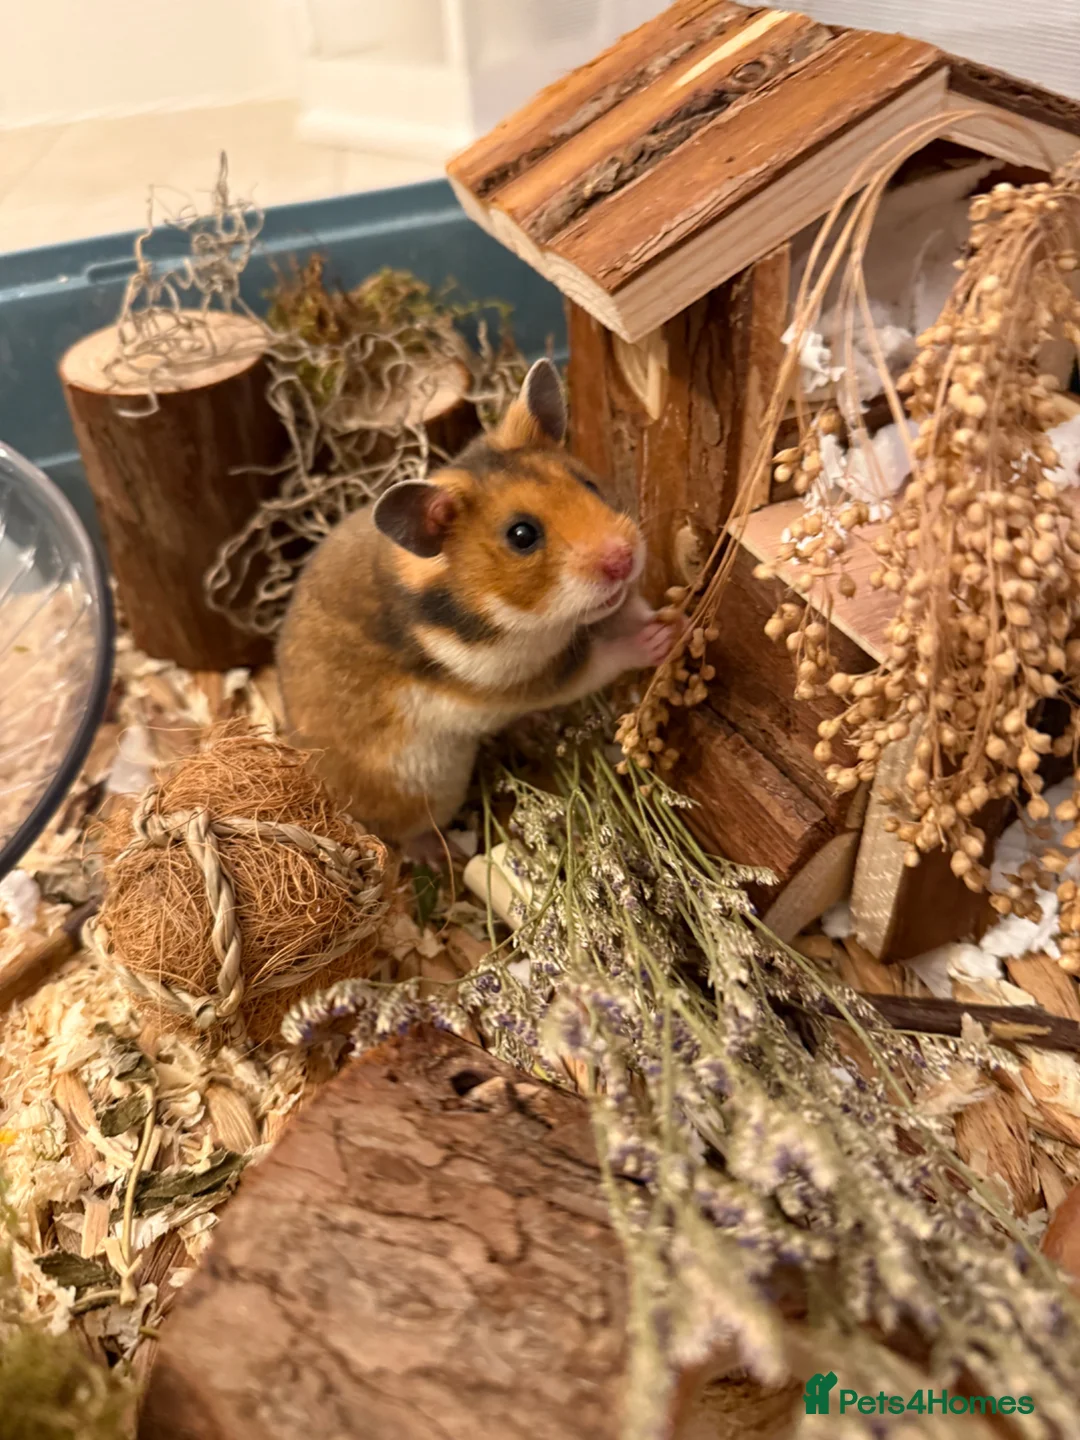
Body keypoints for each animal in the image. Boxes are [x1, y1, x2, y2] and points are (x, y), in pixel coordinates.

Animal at [276, 358, 676, 849]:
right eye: (522, 536)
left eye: (589, 485)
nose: (623, 558)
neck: (535, 617)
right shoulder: (522, 678)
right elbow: (597, 661)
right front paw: (658, 638)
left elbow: (626, 608)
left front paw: (672, 617)